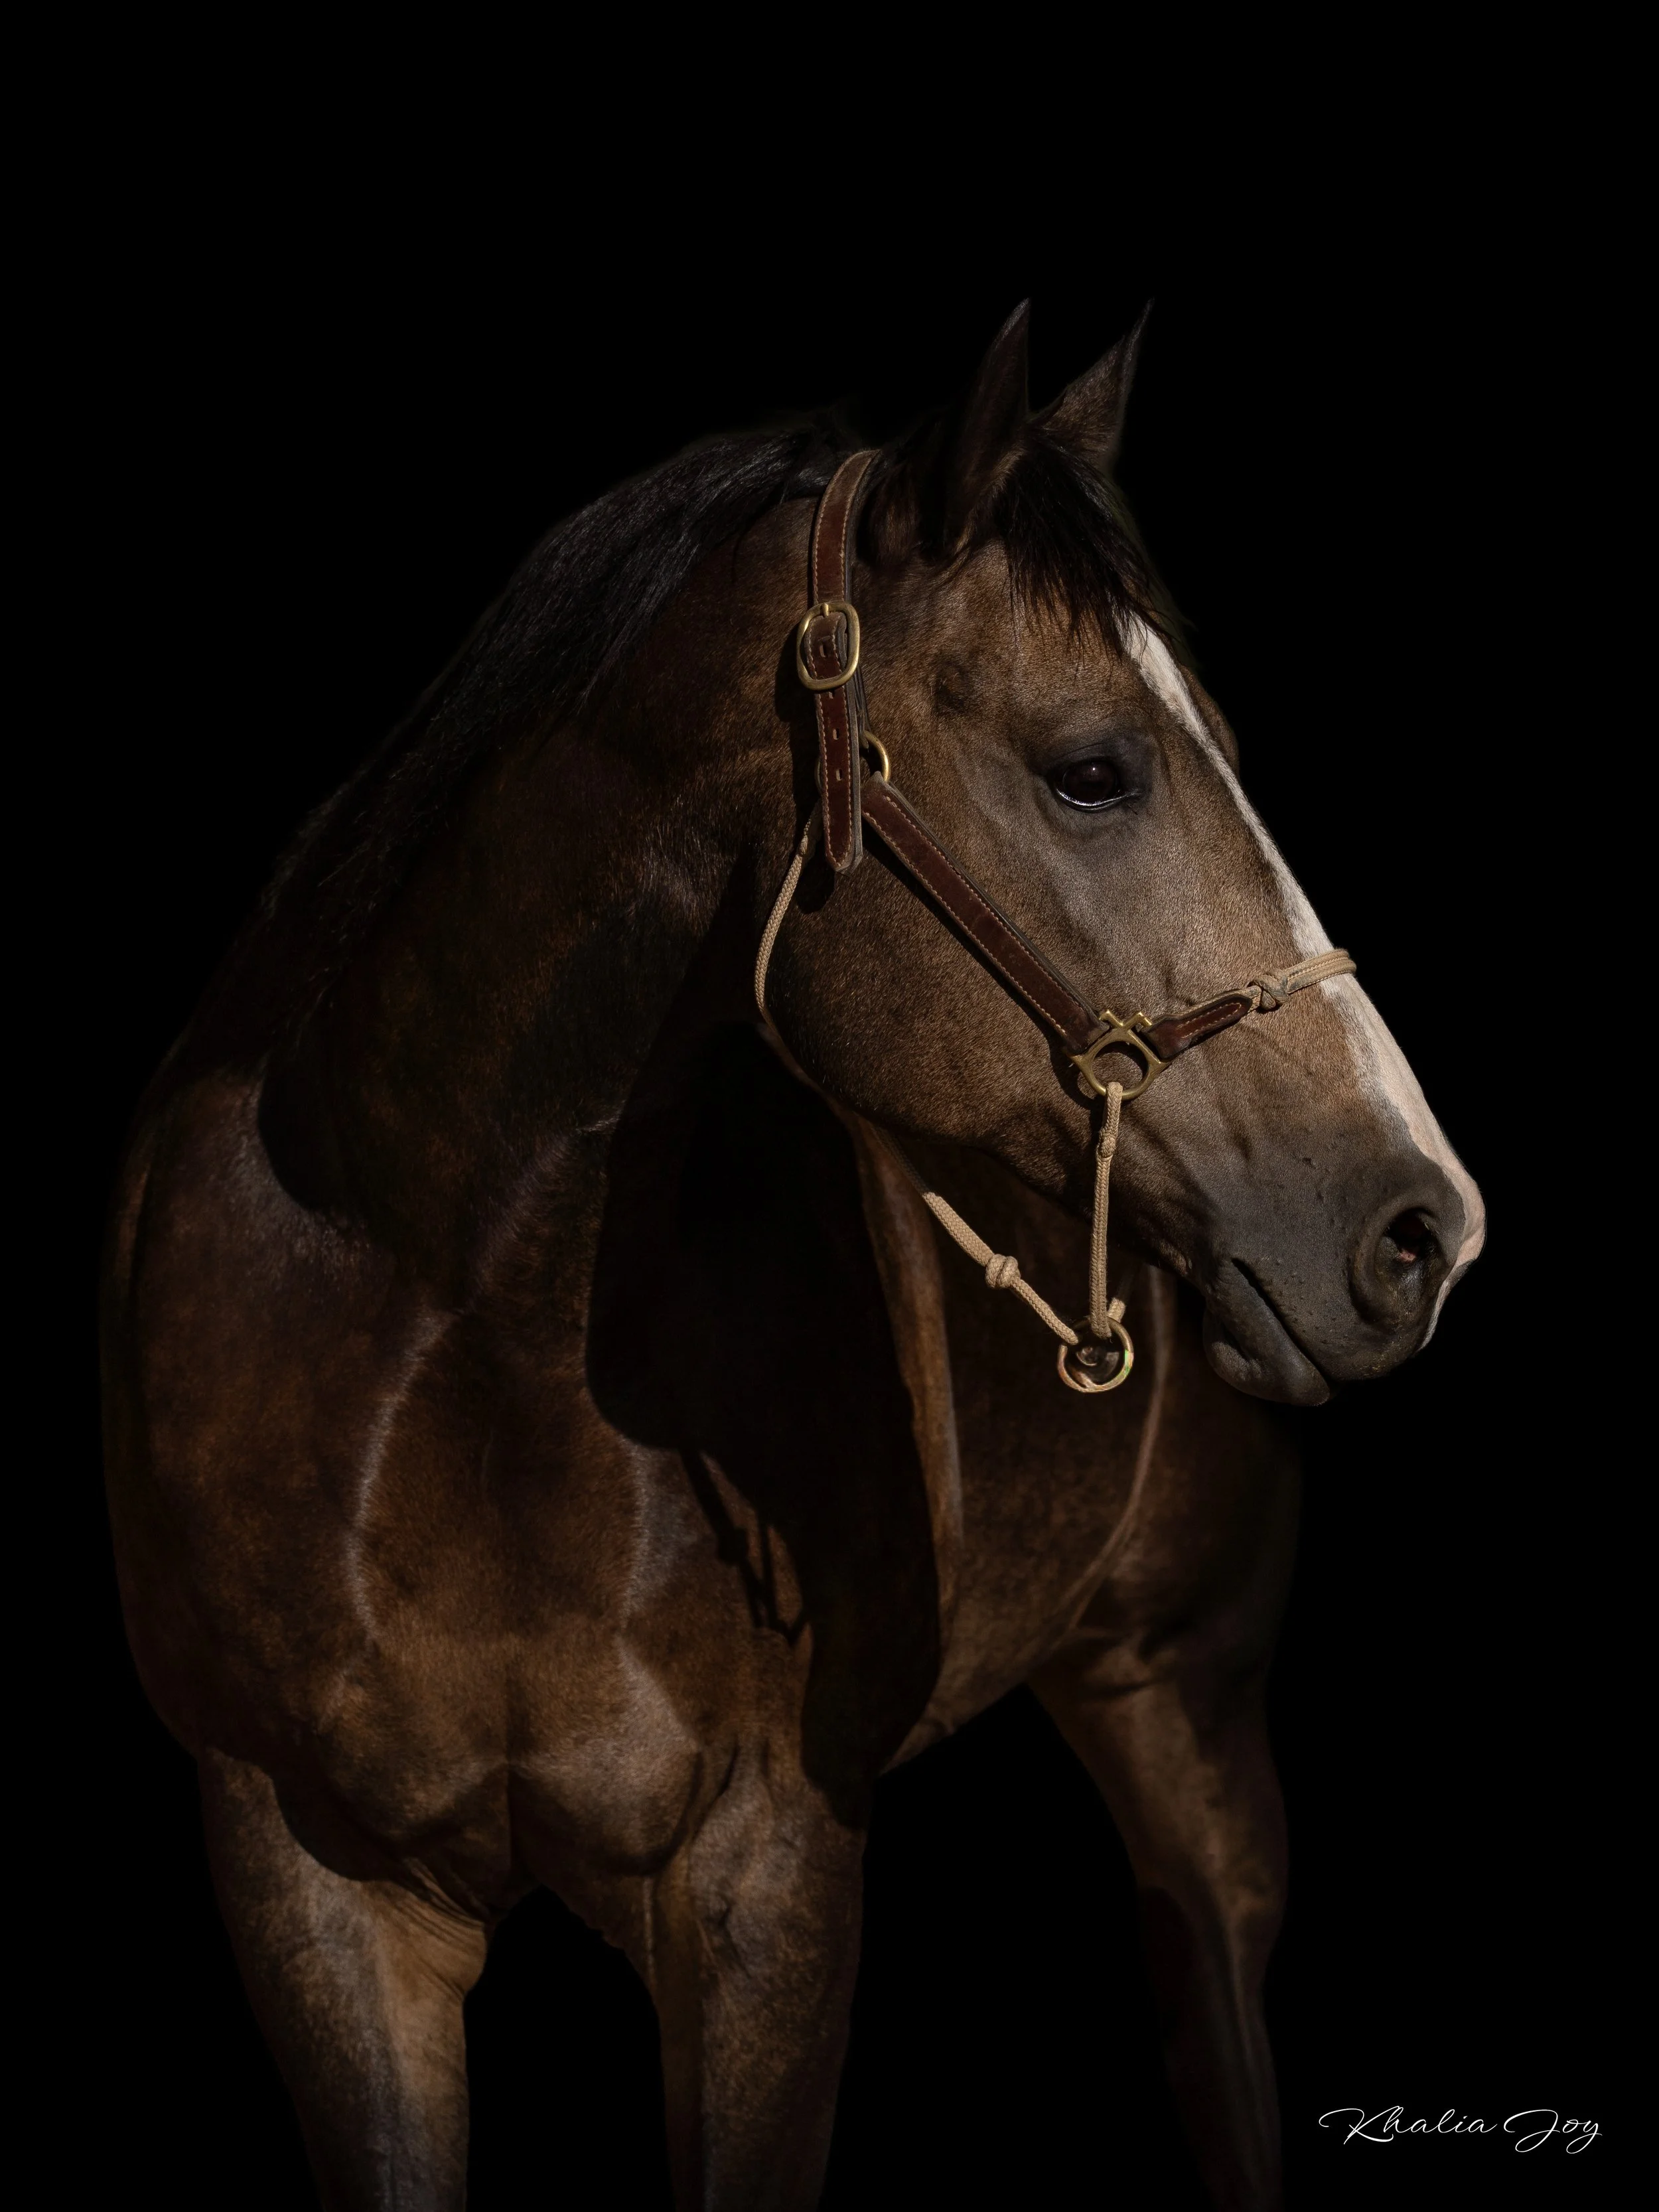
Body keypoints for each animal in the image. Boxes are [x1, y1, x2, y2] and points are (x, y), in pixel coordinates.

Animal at [101, 301, 1484, 2211]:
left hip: (1186, 1724)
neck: (431, 1320)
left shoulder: (767, 1882)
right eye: (1091, 768)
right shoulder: (313, 1892)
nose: (1418, 1223)